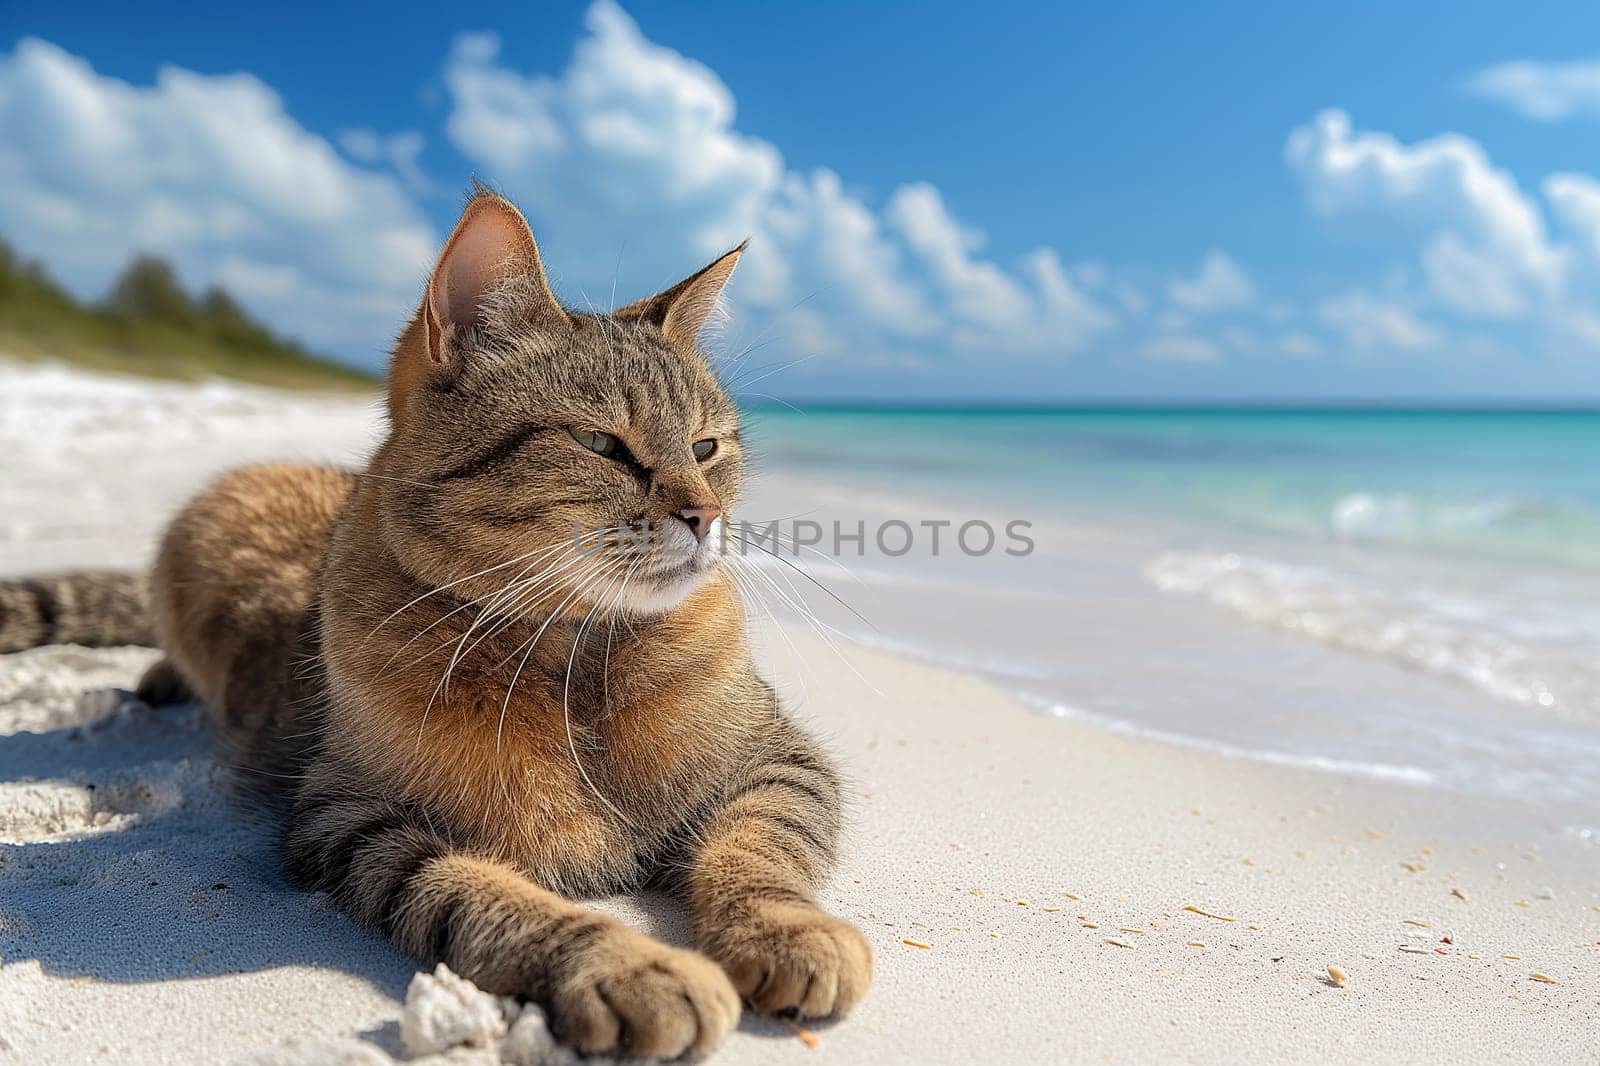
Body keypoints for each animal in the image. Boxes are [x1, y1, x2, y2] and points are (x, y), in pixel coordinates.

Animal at [0, 188, 870, 1056]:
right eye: (600, 443)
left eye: (707, 446)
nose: (707, 514)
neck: (576, 654)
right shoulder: (355, 822)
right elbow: (489, 899)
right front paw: (627, 965)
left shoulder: (776, 756)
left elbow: (760, 848)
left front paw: (785, 930)